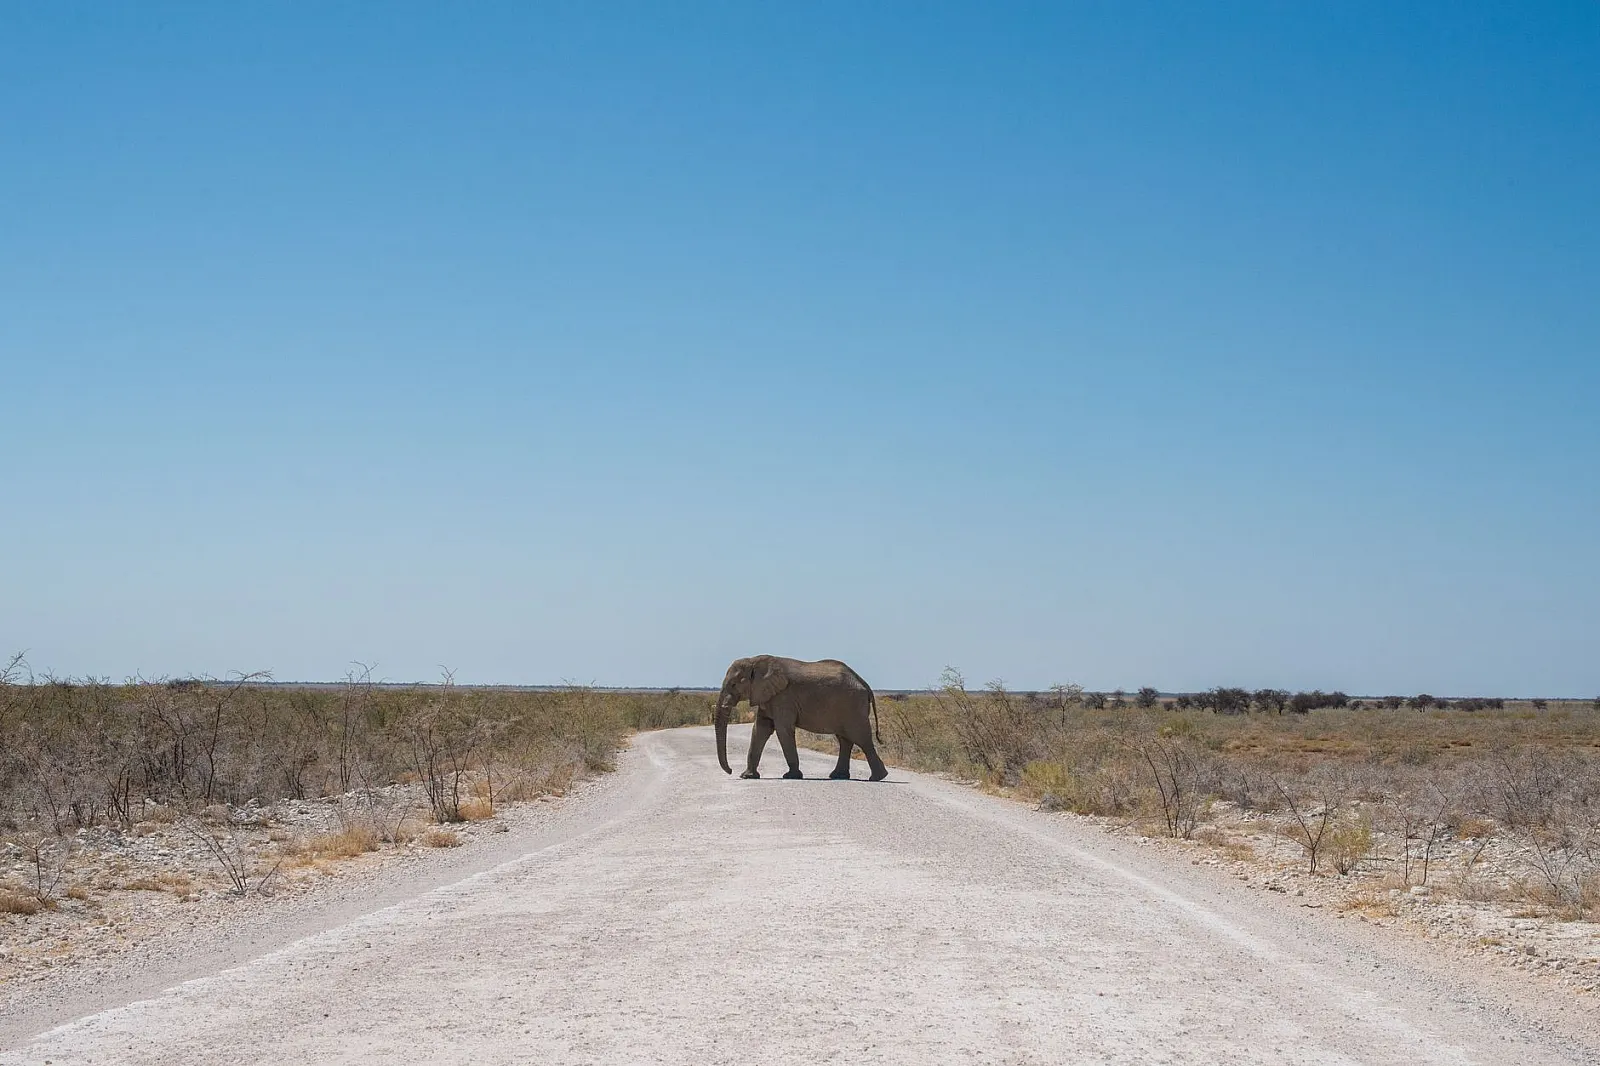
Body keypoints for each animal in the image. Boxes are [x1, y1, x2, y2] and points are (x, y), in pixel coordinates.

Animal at [714, 655, 888, 781]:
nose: (730, 771)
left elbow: (783, 730)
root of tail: (864, 684)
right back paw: (838, 776)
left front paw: (791, 776)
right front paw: (747, 776)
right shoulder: (768, 697)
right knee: (845, 740)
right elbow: (760, 730)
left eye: (734, 684)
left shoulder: (783, 698)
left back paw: (877, 778)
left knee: (861, 738)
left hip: (853, 706)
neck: (755, 661)